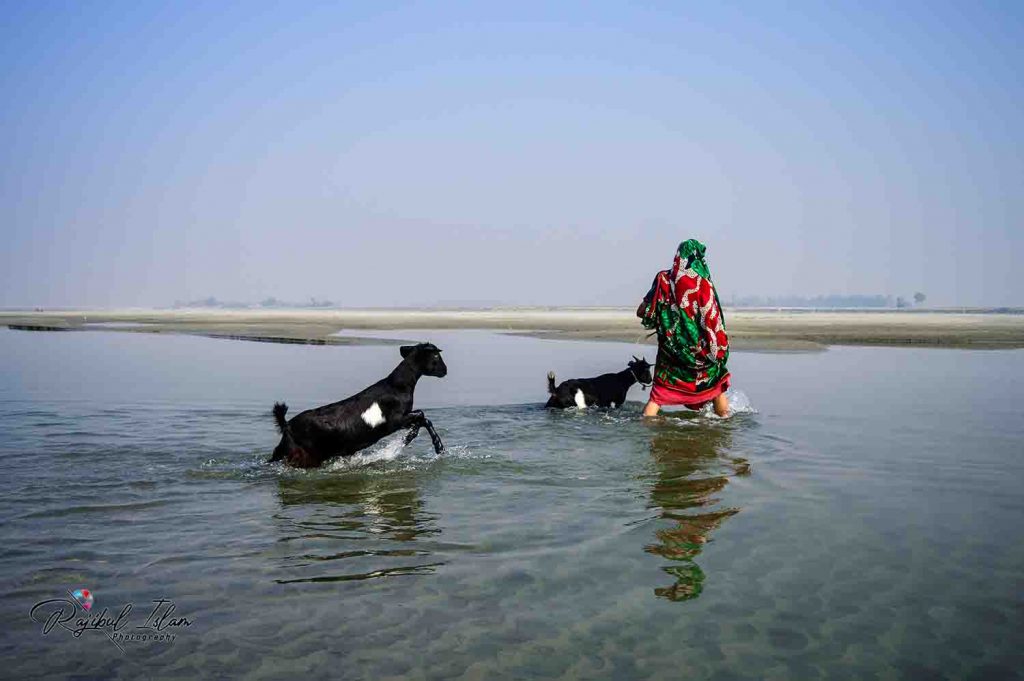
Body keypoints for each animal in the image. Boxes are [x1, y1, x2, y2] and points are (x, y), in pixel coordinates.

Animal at [270, 339, 446, 466]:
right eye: (436, 356)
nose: (445, 370)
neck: (397, 386)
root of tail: (287, 425)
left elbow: (421, 419)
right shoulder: (395, 420)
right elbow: (422, 416)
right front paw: (437, 447)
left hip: (284, 451)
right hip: (307, 455)